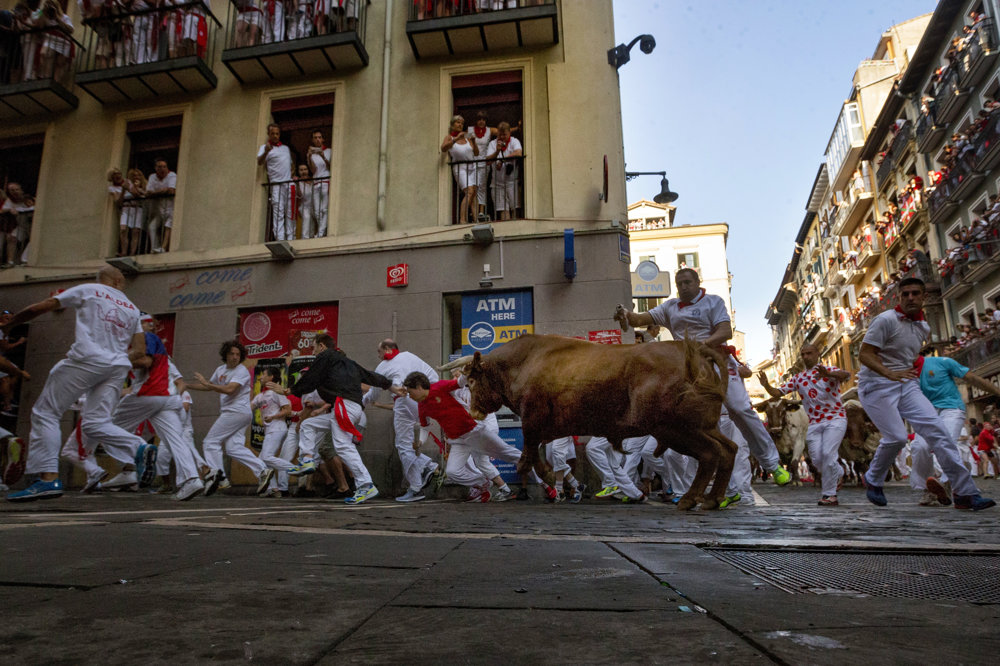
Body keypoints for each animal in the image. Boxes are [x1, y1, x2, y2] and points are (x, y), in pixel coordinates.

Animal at [464, 332, 740, 508]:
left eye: (472, 381)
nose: (473, 411)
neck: (523, 362)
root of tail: (692, 350)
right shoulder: (543, 429)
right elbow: (535, 457)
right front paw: (557, 484)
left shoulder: (532, 420)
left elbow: (527, 457)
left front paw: (552, 482)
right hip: (703, 426)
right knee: (729, 449)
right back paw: (713, 499)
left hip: (674, 428)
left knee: (710, 454)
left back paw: (689, 499)